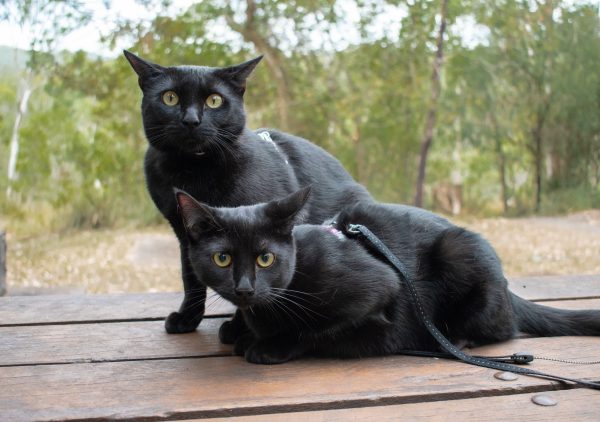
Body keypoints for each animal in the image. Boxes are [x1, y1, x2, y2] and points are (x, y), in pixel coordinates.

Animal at [124, 50, 372, 332]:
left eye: (214, 100)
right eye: (170, 97)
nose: (191, 120)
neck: (194, 171)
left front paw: (240, 329)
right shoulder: (187, 232)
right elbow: (191, 277)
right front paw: (188, 317)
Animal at [173, 186, 600, 364]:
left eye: (265, 259)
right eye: (223, 259)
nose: (245, 288)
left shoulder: (380, 288)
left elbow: (316, 330)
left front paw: (271, 345)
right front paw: (243, 331)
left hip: (461, 253)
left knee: (503, 328)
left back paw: (457, 338)